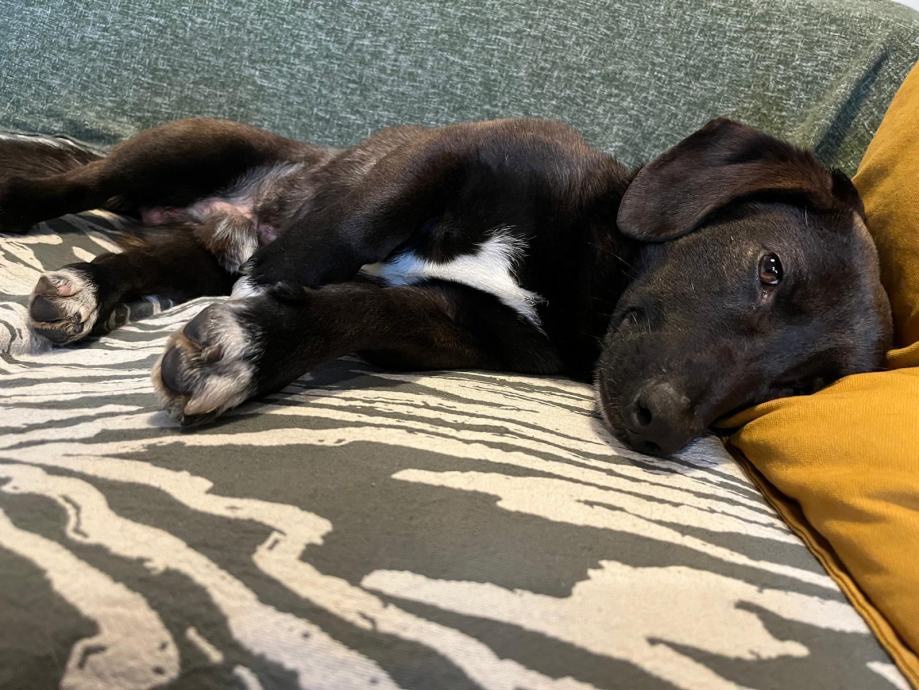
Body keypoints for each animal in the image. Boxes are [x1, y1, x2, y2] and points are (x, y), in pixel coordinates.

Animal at [0, 117, 892, 455]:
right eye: (769, 270)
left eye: (798, 385)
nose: (664, 428)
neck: (587, 277)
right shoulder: (449, 149)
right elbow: (353, 228)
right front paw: (273, 285)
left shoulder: (452, 323)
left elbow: (358, 310)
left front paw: (257, 345)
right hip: (180, 147)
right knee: (71, 184)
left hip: (189, 245)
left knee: (145, 257)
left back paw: (87, 289)